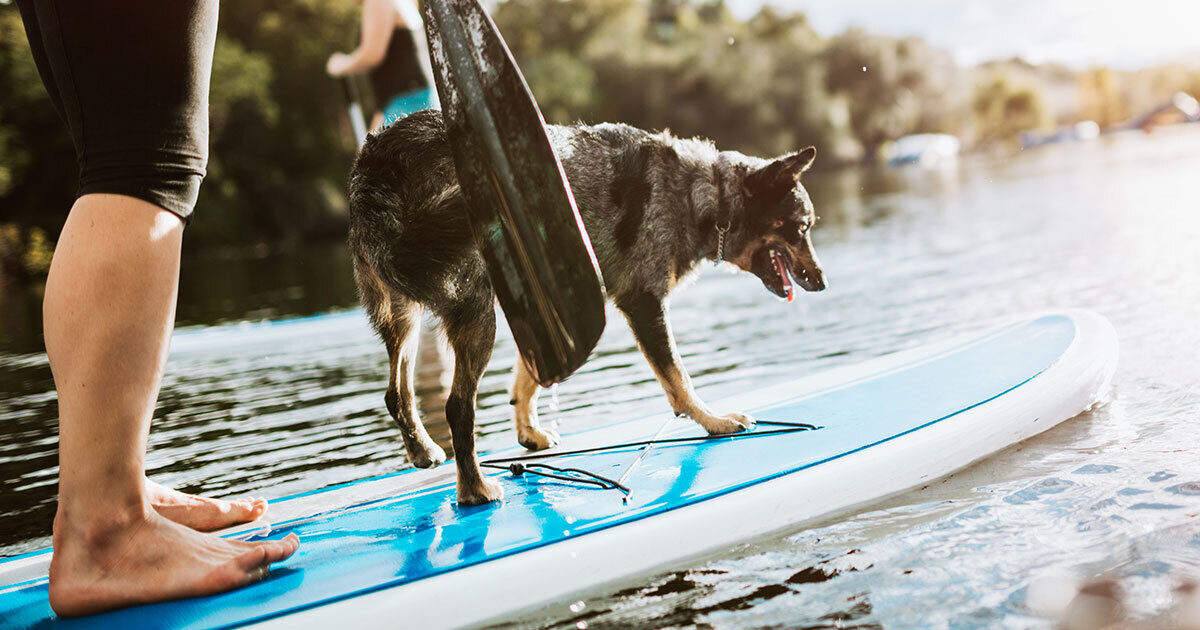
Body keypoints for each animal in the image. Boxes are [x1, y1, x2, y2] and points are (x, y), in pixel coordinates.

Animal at [348, 110, 825, 506]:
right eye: (801, 228)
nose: (822, 282)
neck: (703, 194)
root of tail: (376, 161)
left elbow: (529, 378)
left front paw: (528, 430)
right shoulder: (643, 301)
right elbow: (680, 381)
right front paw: (714, 421)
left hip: (403, 317)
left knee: (397, 392)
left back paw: (422, 449)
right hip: (476, 311)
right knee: (456, 407)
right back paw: (474, 490)